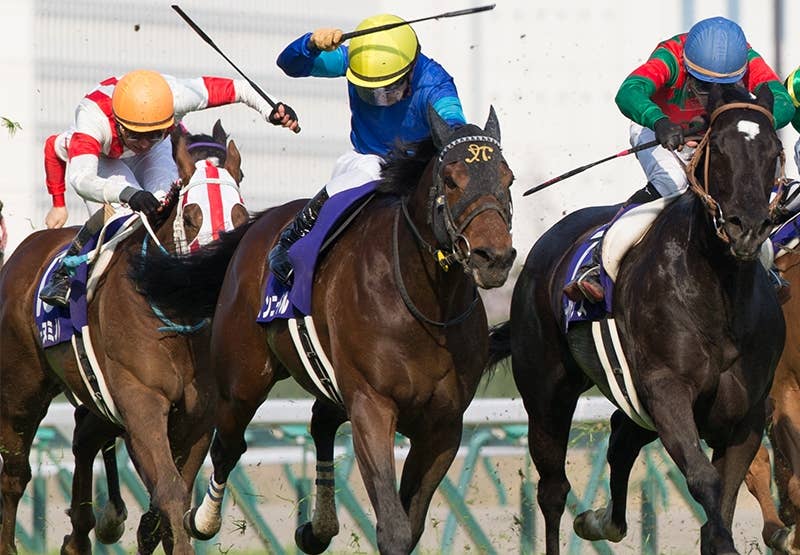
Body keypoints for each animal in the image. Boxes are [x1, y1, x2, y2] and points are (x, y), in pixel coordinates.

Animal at [0, 120, 247, 555]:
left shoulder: (198, 415)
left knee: (83, 438)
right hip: (21, 390)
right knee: (14, 474)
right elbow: (169, 491)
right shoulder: (140, 401)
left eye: (241, 214)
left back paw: (81, 535)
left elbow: (168, 500)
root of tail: (24, 251)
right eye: (193, 216)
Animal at [129, 106, 515, 554]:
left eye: (508, 178)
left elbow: (412, 522)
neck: (423, 303)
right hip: (243, 379)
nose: (494, 258)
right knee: (229, 443)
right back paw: (201, 520)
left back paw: (318, 527)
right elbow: (395, 526)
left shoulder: (444, 427)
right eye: (451, 180)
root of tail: (258, 223)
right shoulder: (371, 405)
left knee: (320, 422)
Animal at [487, 85, 786, 554]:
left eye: (774, 150)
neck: (719, 297)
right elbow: (705, 481)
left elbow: (725, 495)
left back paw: (601, 521)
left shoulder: (747, 414)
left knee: (621, 437)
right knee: (552, 489)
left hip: (631, 400)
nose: (747, 228)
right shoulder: (665, 390)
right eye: (718, 148)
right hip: (546, 391)